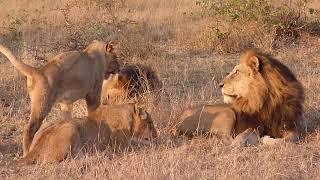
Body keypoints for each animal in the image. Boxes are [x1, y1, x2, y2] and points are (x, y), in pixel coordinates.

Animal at [18, 102, 158, 165]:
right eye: (150, 122)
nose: (156, 136)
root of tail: (33, 150)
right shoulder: (121, 147)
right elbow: (140, 144)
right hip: (70, 128)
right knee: (67, 160)